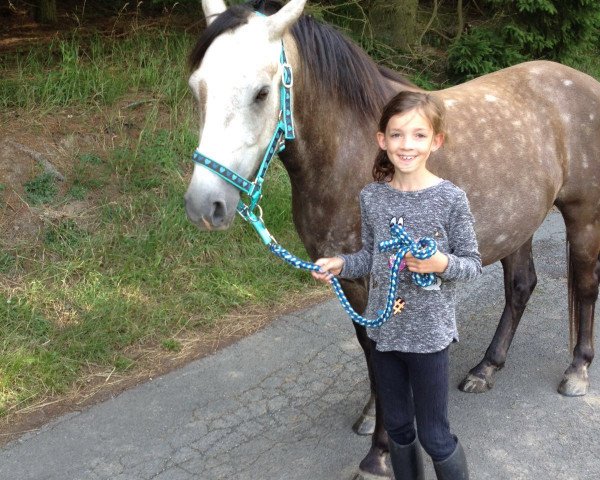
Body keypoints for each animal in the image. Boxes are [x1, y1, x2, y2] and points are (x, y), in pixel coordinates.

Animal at [183, 0, 600, 476]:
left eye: (261, 93)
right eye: (198, 88)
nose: (204, 205)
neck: (352, 153)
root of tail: (581, 80)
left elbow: (381, 350)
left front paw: (379, 452)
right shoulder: (347, 278)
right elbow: (370, 348)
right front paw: (371, 415)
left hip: (583, 214)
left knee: (585, 286)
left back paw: (577, 372)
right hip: (517, 224)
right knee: (520, 287)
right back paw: (485, 369)